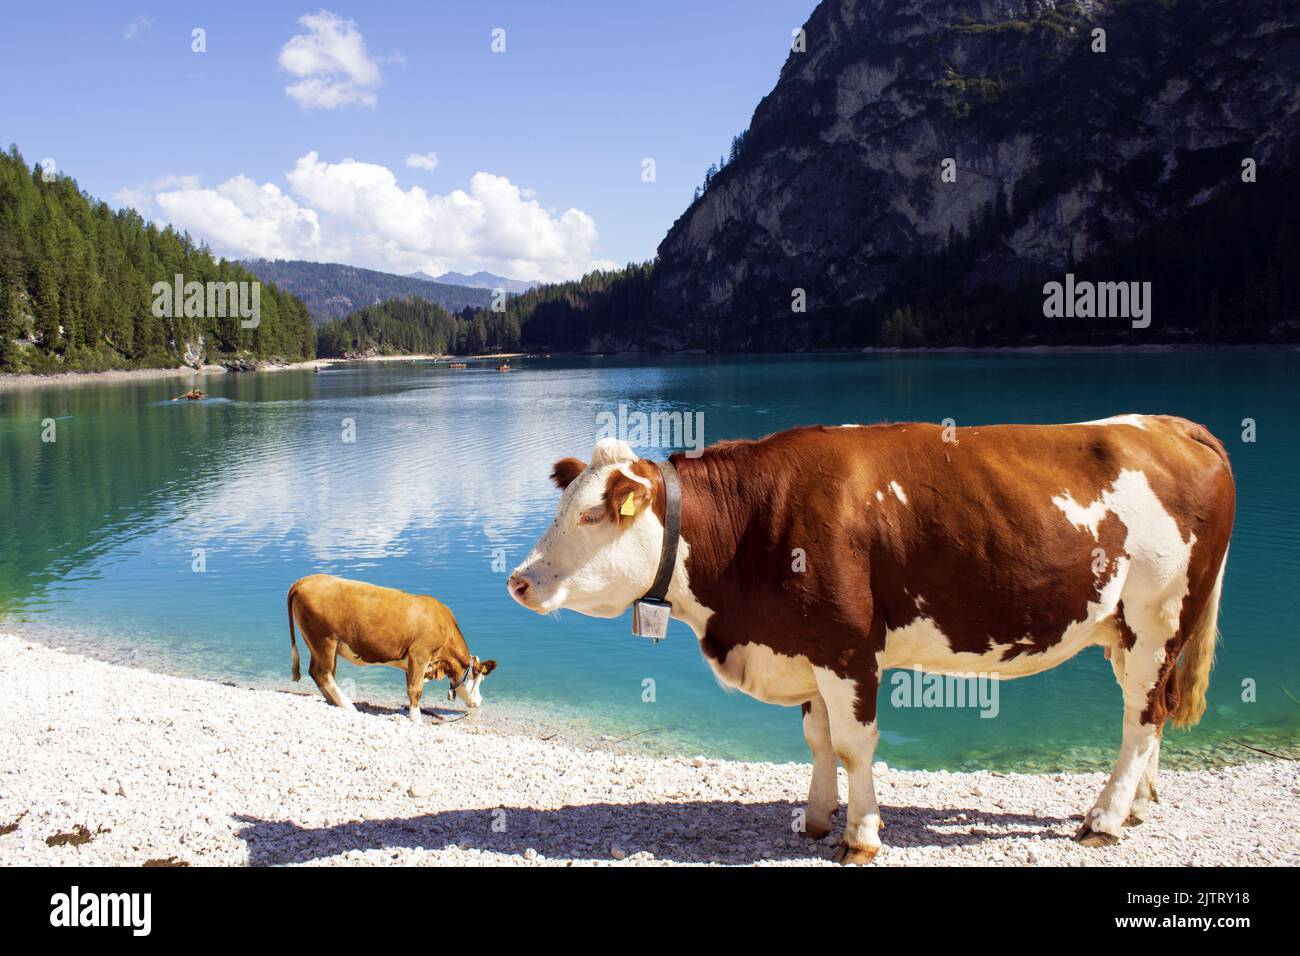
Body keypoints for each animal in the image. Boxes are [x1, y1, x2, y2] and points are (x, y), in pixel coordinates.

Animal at [287, 574, 496, 720]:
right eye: (479, 678)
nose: (479, 701)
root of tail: (304, 580)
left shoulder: (411, 662)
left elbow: (411, 686)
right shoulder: (419, 655)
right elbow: (415, 689)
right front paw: (416, 719)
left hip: (315, 643)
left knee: (317, 672)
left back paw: (333, 702)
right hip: (325, 640)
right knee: (324, 673)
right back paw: (347, 705)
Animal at [507, 416, 1235, 864]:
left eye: (594, 515)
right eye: (563, 506)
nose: (517, 581)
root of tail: (1170, 425)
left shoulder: (847, 645)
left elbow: (854, 745)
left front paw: (859, 835)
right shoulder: (806, 644)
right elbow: (817, 738)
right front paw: (815, 817)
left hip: (1158, 616)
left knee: (1142, 716)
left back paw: (1105, 818)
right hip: (1127, 631)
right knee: (1153, 711)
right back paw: (1136, 806)